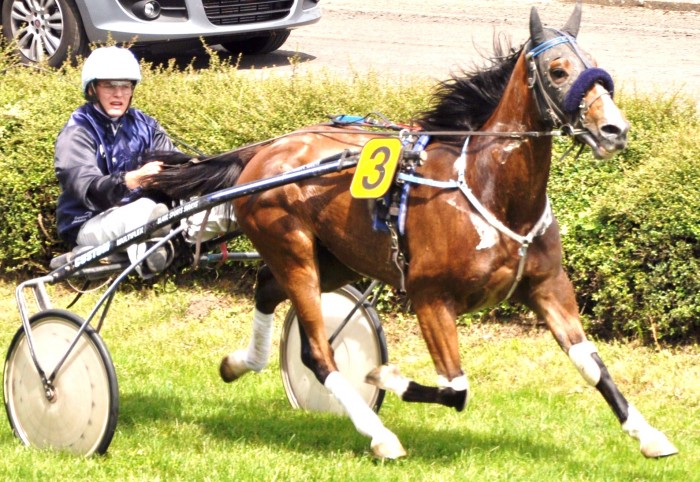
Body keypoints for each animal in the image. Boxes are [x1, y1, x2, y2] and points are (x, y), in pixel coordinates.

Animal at [144, 0, 680, 460]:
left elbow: (591, 364)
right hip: (292, 249)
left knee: (265, 288)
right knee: (318, 353)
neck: (491, 191)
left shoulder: (548, 287)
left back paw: (240, 363)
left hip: (334, 260)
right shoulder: (429, 297)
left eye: (597, 65)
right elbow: (457, 389)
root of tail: (261, 153)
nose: (615, 130)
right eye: (558, 70)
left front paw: (649, 435)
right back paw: (379, 434)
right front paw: (384, 375)